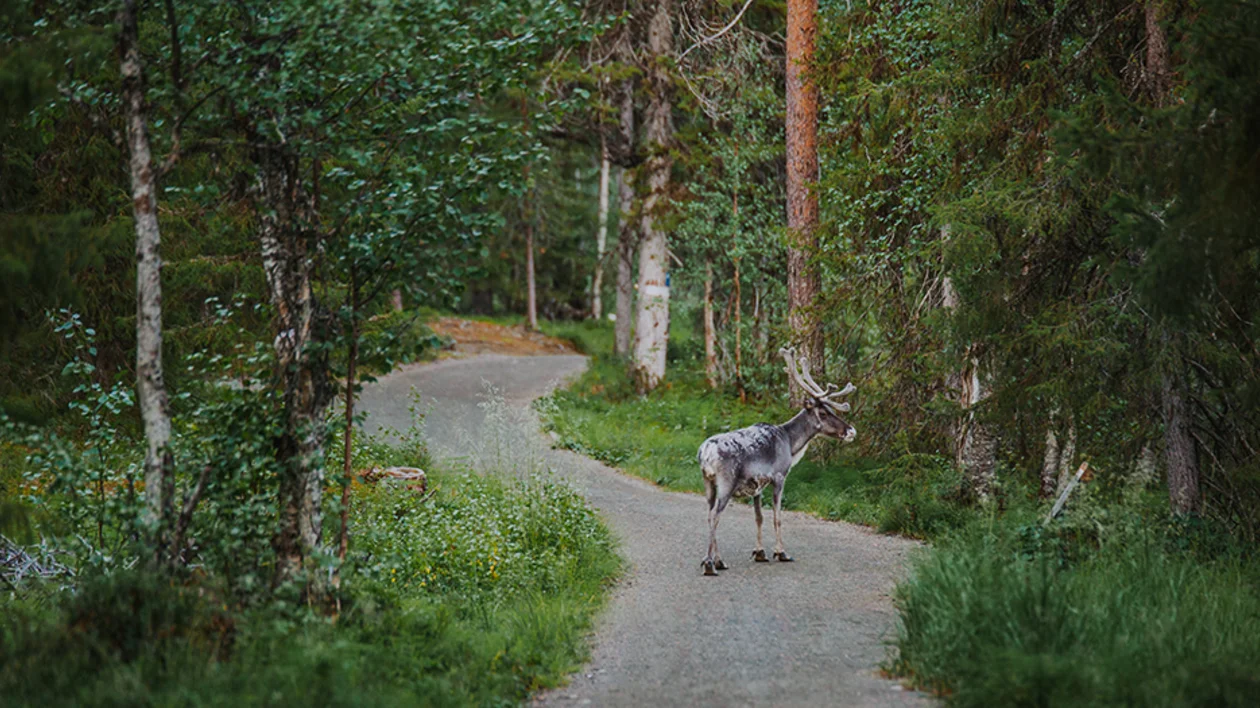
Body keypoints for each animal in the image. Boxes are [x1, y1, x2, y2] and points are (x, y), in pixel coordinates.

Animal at [696, 347, 857, 576]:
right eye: (823, 413)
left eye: (833, 410)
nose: (851, 431)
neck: (790, 443)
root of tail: (706, 452)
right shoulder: (780, 476)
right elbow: (777, 516)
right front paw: (781, 553)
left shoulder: (756, 486)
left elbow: (759, 517)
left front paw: (760, 553)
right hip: (726, 482)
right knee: (715, 516)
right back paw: (710, 564)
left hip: (707, 482)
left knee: (709, 513)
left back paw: (718, 561)